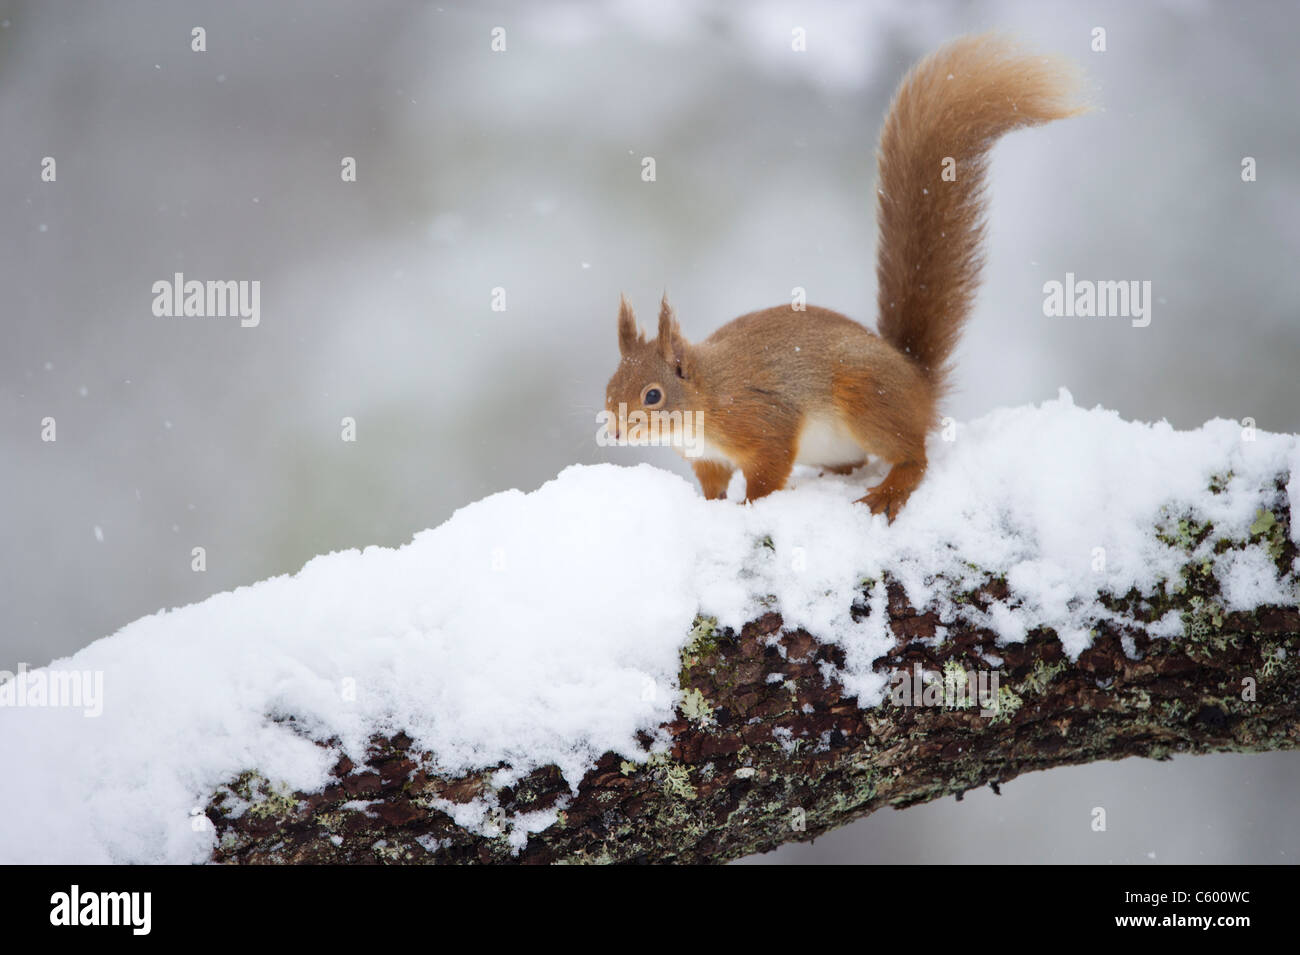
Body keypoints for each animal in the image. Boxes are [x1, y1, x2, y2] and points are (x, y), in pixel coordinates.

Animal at [603, 33, 1081, 519]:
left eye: (653, 395)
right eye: (610, 387)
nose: (616, 432)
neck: (706, 394)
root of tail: (918, 386)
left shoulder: (764, 422)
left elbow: (767, 474)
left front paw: (750, 507)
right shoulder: (709, 459)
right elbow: (713, 486)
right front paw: (711, 507)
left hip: (866, 397)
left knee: (914, 455)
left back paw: (889, 490)